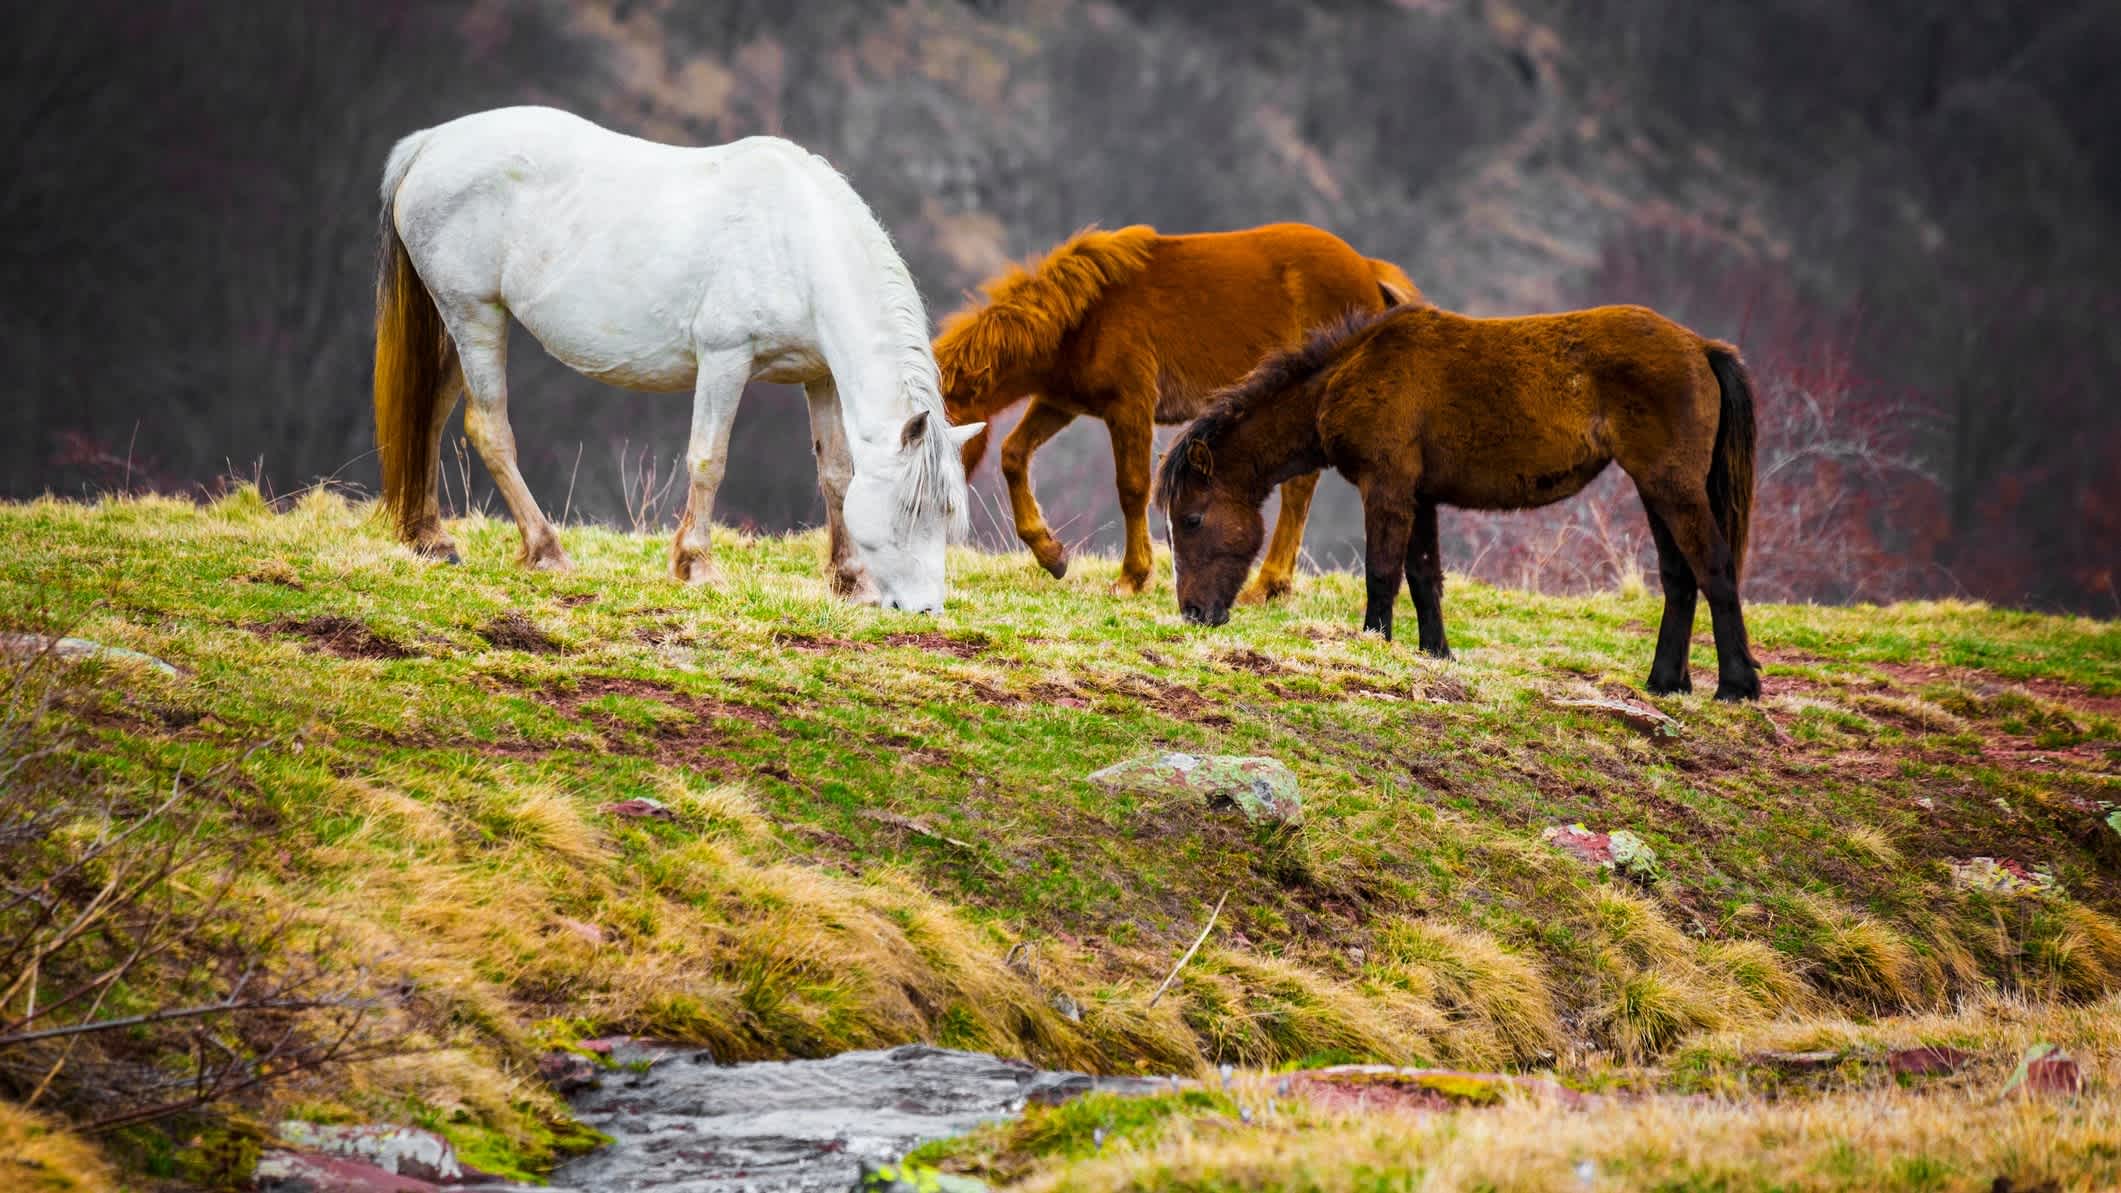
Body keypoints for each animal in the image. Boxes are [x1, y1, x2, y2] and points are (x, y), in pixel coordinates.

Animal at [375, 105, 984, 607]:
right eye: (910, 508)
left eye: (948, 513)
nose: (925, 610)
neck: (794, 242)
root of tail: (430, 143)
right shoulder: (725, 360)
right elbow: (708, 460)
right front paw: (697, 565)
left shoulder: (820, 377)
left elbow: (835, 473)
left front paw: (850, 581)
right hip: (476, 316)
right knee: (489, 429)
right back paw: (546, 550)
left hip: (461, 325)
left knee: (428, 414)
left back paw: (432, 539)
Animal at [933, 219, 1416, 598]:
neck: (1085, 317)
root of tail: (1367, 270)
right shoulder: (1060, 403)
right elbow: (1014, 455)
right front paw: (1051, 553)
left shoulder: (1130, 406)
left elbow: (1132, 488)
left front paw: (1132, 577)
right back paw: (1272, 585)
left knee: (1299, 488)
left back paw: (1265, 585)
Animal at [1153, 301, 1764, 700]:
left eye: (1192, 518)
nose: (1193, 613)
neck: (1348, 373)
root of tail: (1700, 347)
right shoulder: (1420, 496)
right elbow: (1424, 574)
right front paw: (1435, 653)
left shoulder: (1387, 486)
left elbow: (1382, 572)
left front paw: (1376, 644)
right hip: (1656, 489)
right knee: (1679, 578)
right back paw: (1665, 683)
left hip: (1671, 485)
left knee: (1712, 567)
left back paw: (1737, 685)